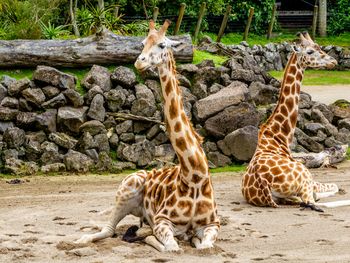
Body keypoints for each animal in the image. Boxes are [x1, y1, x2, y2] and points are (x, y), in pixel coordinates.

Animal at [75, 20, 220, 252]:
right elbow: (171, 247)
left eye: (162, 44)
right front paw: (150, 238)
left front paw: (193, 240)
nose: (139, 62)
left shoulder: (213, 224)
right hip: (127, 187)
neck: (195, 177)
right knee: (108, 230)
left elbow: (204, 246)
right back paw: (83, 240)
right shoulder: (162, 221)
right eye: (142, 43)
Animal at [241, 32, 340, 212]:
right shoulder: (311, 180)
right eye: (310, 51)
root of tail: (263, 184)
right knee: (313, 203)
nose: (333, 61)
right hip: (305, 175)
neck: (279, 137)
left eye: (319, 47)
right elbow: (334, 187)